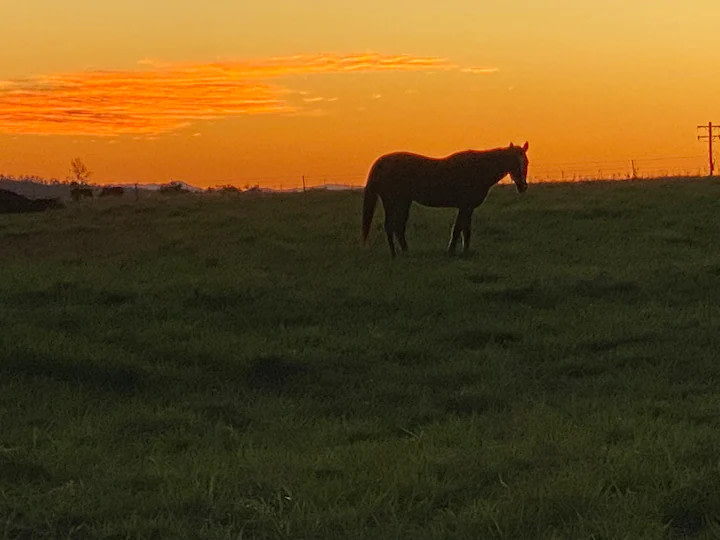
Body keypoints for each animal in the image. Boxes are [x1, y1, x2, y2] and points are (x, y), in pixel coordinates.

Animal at [361, 142, 529, 257]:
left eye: (526, 162)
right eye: (514, 162)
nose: (523, 186)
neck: (477, 169)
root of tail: (382, 163)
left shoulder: (468, 208)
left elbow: (465, 230)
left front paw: (465, 251)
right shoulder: (464, 206)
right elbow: (458, 229)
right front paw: (451, 251)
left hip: (402, 203)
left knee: (398, 227)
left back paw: (406, 252)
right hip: (393, 202)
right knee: (391, 226)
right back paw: (394, 255)